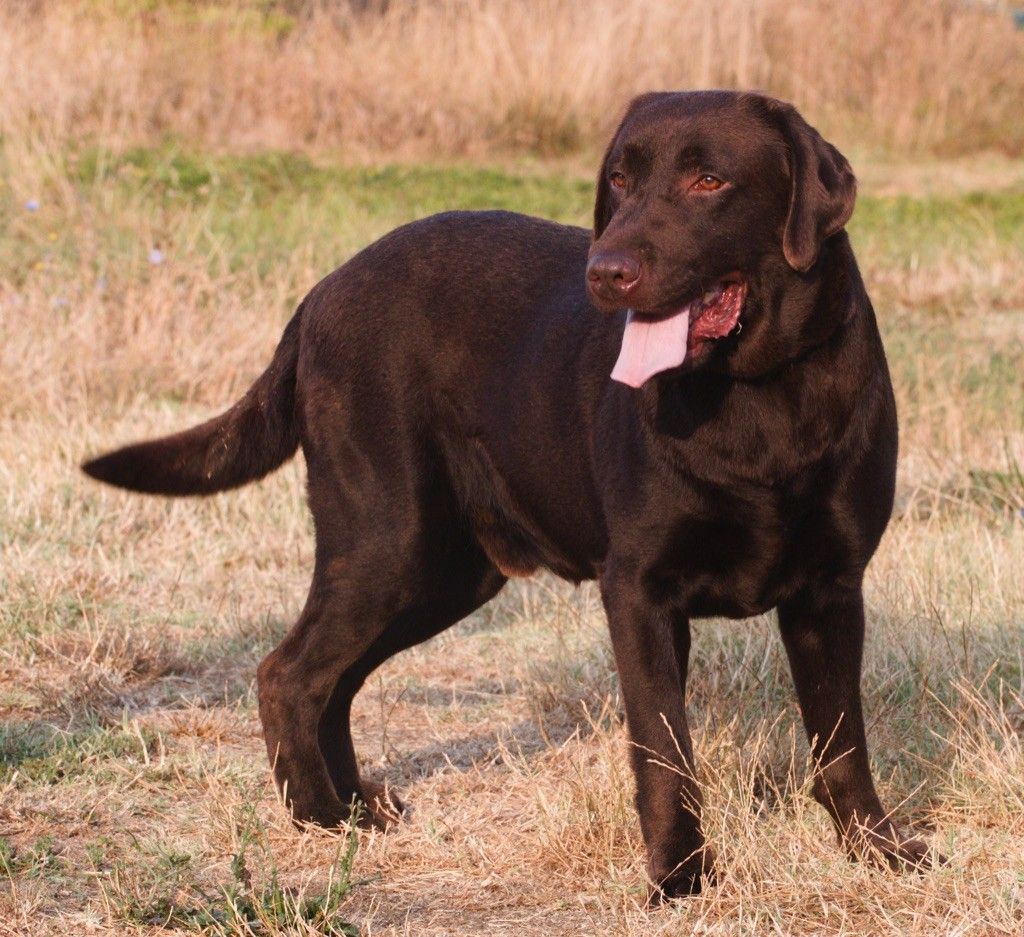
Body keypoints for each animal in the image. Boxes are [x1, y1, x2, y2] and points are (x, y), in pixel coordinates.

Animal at [83, 90, 935, 899]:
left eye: (709, 181)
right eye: (619, 180)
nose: (607, 272)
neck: (758, 396)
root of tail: (319, 293)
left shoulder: (831, 588)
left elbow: (842, 740)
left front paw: (876, 849)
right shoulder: (640, 590)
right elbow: (664, 748)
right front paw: (679, 875)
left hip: (443, 572)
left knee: (336, 677)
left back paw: (356, 804)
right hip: (387, 541)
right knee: (288, 672)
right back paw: (322, 818)